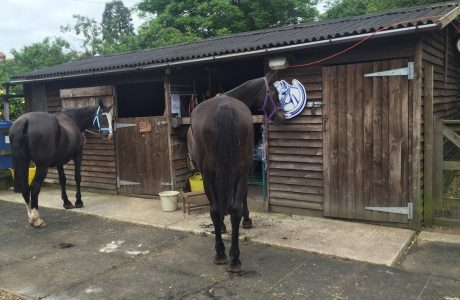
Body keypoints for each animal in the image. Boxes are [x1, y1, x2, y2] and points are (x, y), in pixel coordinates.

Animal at [9, 99, 113, 229]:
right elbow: (77, 177)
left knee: (25, 187)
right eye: (102, 116)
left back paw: (30, 216)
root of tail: (25, 120)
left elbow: (62, 180)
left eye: (111, 118)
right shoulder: (78, 155)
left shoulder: (59, 161)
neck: (73, 119)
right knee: (34, 187)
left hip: (24, 162)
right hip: (42, 166)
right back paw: (37, 219)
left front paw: (66, 202)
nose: (109, 135)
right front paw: (78, 202)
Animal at [187, 77, 284, 272]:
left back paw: (226, 255)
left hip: (212, 176)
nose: (281, 116)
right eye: (274, 92)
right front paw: (247, 221)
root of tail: (224, 107)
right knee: (227, 209)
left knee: (218, 209)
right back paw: (230, 257)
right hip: (231, 173)